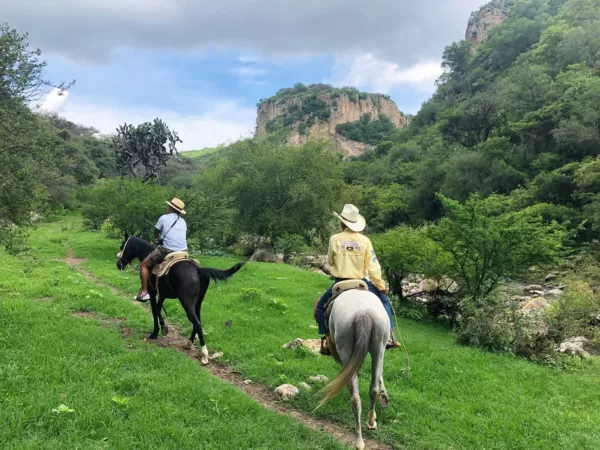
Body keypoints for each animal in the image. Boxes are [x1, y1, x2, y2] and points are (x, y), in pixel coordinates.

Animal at [117, 234, 244, 364]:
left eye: (122, 246)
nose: (118, 264)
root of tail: (198, 270)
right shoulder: (162, 295)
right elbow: (158, 309)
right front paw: (162, 327)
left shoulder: (152, 293)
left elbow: (154, 311)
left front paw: (156, 332)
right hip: (198, 302)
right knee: (198, 320)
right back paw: (189, 343)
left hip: (186, 302)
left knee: (196, 322)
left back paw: (204, 354)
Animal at [318, 288, 390, 450]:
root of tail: (362, 313)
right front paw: (384, 397)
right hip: (378, 348)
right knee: (372, 389)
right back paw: (369, 424)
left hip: (345, 349)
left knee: (355, 397)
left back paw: (359, 439)